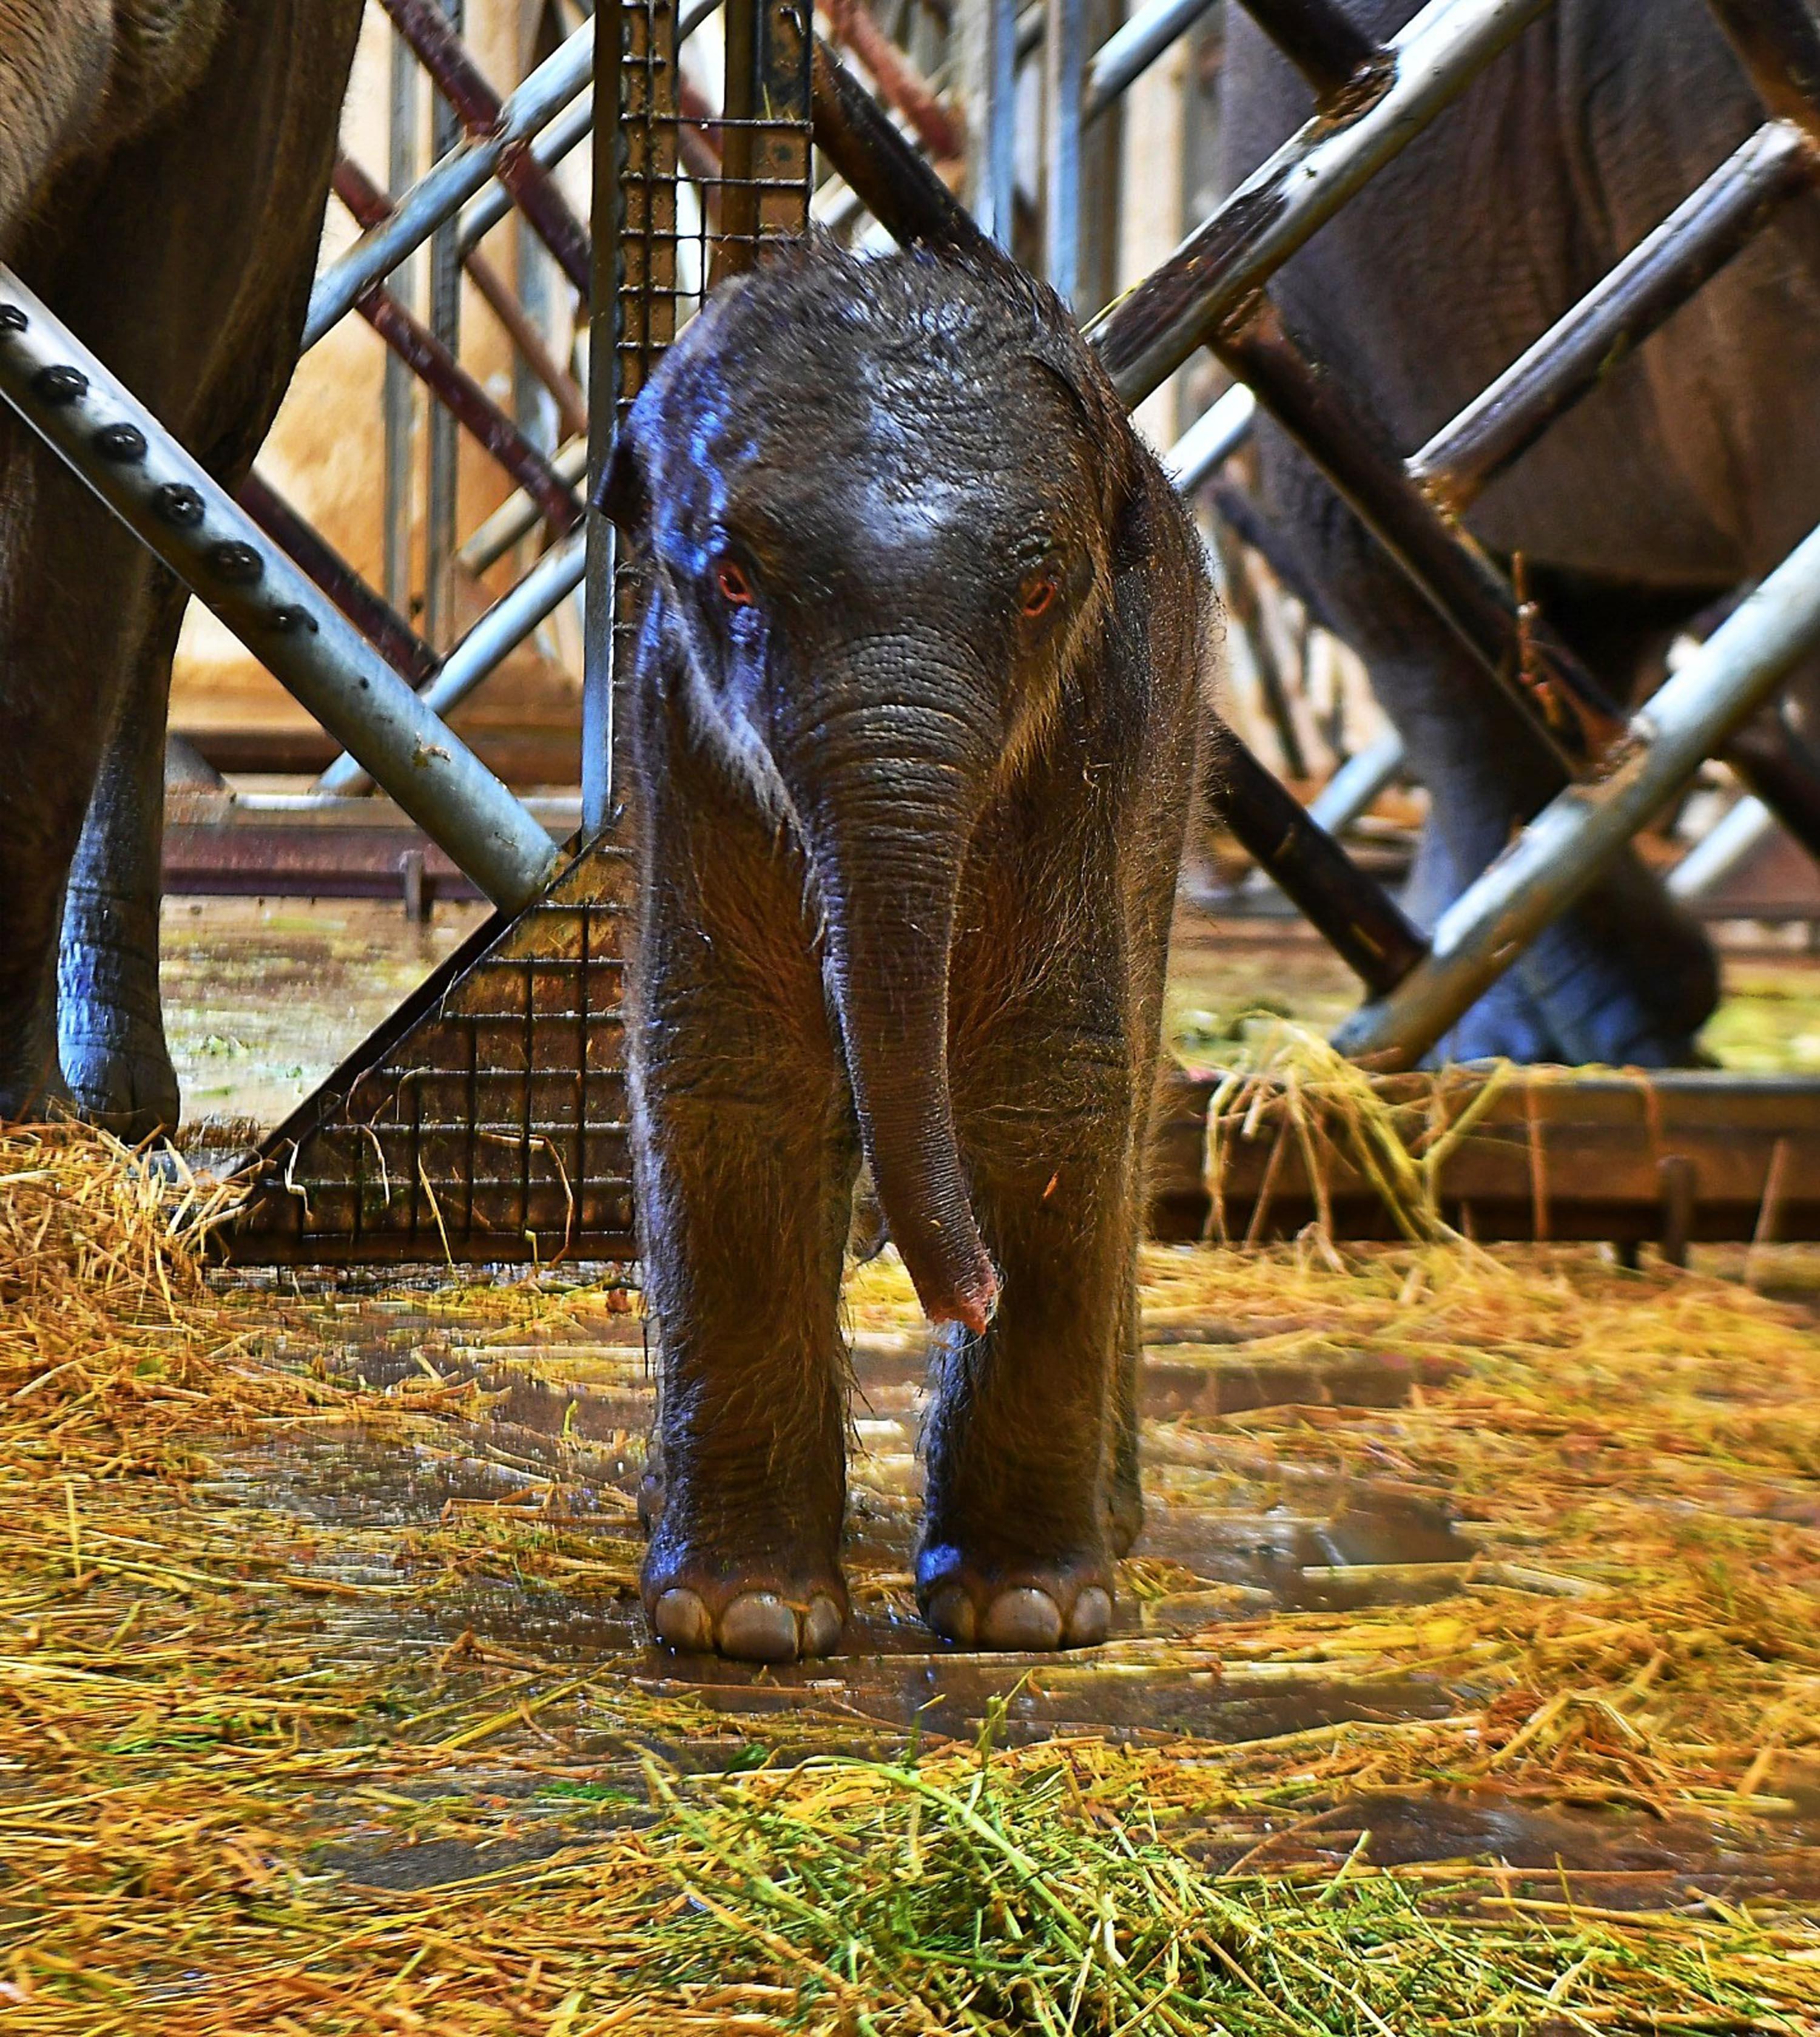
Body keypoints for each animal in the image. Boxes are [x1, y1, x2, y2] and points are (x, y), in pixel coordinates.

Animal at [597, 238, 1209, 1662]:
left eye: (1039, 593)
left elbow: (1051, 1086)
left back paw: (1117, 1519)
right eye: (734, 580)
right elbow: (734, 1070)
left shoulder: (1101, 742)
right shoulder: (681, 745)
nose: (966, 1295)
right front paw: (747, 1620)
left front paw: (1031, 1614)